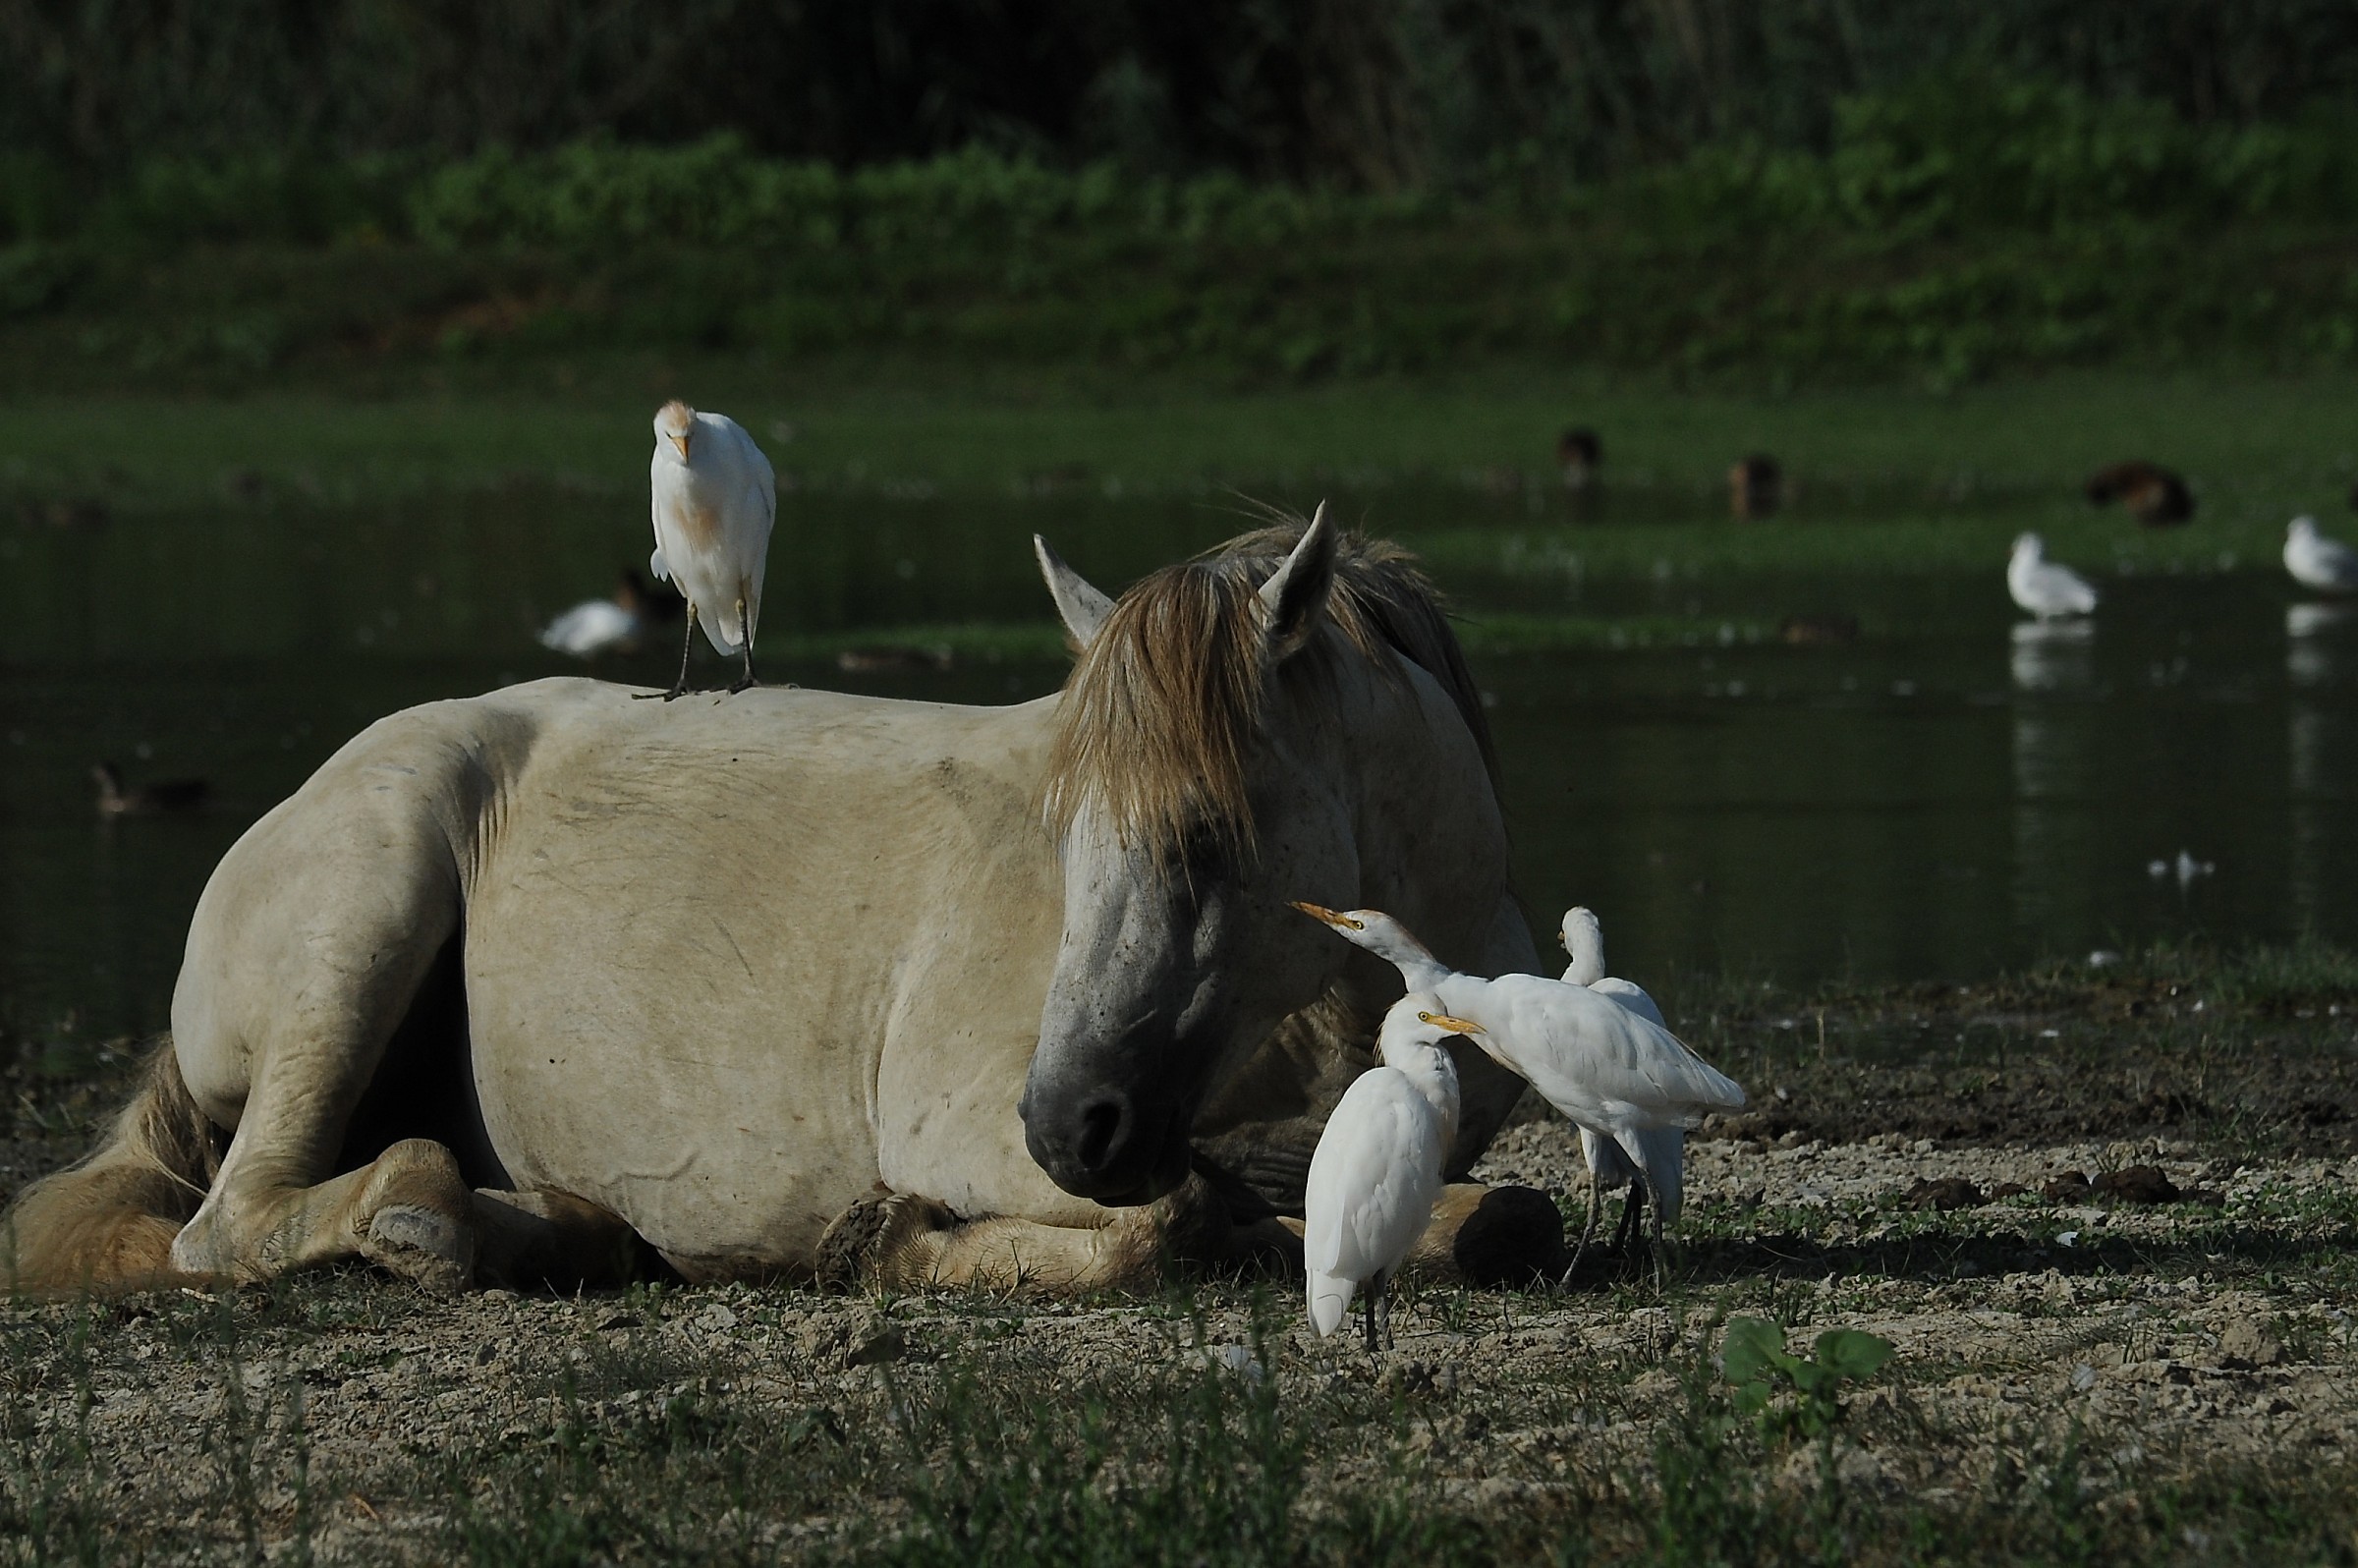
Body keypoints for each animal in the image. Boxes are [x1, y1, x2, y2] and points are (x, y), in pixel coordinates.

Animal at [4, 508, 1558, 1296]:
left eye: (1202, 833)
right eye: (1064, 836)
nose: (1071, 1124)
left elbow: (1484, 1218)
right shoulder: (970, 1129)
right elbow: (1162, 1223)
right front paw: (897, 1240)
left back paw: (554, 1227)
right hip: (365, 908)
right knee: (231, 1223)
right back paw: (422, 1220)